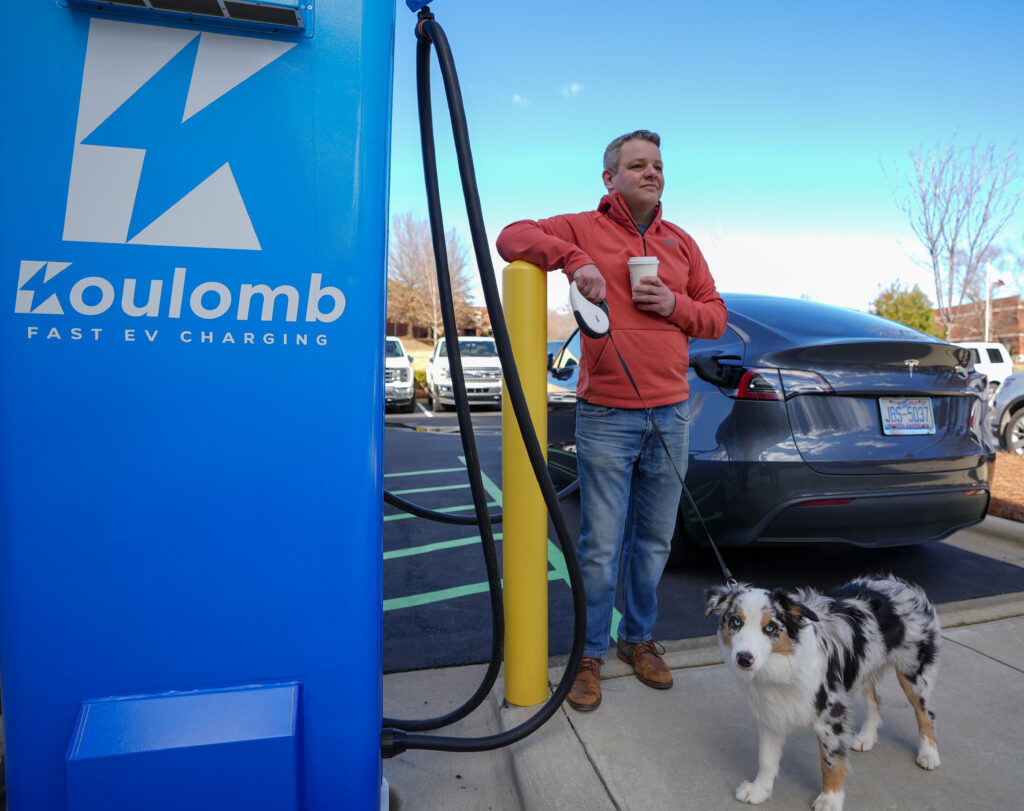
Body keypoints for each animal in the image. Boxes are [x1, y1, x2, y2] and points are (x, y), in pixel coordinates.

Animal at [708, 577, 937, 811]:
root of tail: (899, 583)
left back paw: (928, 754)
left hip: (914, 672)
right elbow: (766, 758)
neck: (785, 666)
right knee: (876, 700)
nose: (744, 658)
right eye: (736, 622)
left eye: (770, 627)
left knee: (925, 714)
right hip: (863, 667)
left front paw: (830, 799)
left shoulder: (831, 714)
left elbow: (830, 763)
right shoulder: (772, 711)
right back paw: (866, 737)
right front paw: (758, 791)